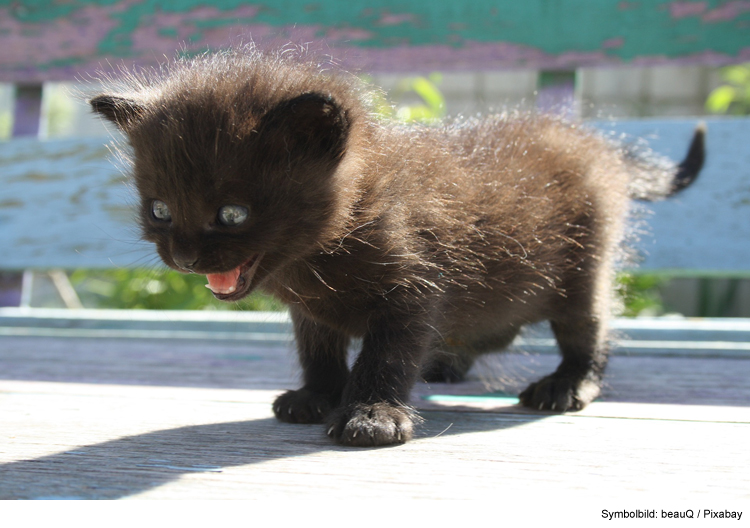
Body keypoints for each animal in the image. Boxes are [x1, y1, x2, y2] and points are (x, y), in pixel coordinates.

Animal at [89, 48, 704, 446]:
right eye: (160, 210)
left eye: (232, 214)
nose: (185, 258)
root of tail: (597, 144)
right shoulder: (312, 312)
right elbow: (318, 351)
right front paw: (317, 395)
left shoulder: (414, 288)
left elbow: (386, 356)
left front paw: (371, 416)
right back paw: (448, 362)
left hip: (583, 268)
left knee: (589, 327)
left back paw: (567, 384)